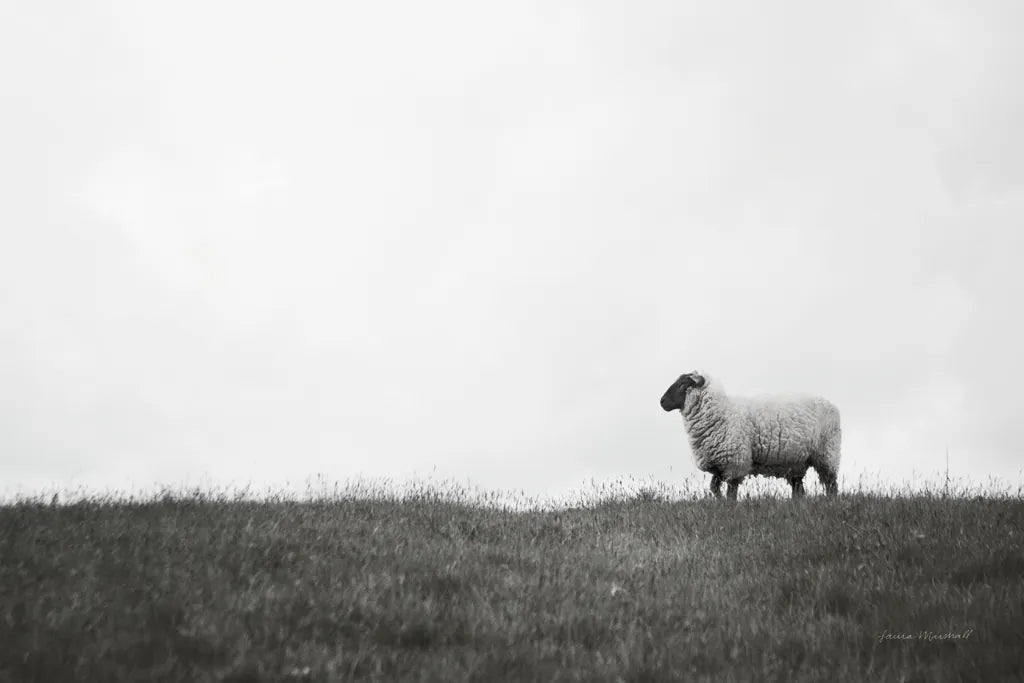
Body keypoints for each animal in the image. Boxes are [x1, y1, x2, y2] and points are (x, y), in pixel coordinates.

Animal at [660, 371, 841, 500]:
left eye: (683, 384)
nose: (661, 402)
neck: (722, 412)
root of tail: (832, 405)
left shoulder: (735, 462)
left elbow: (731, 493)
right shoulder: (719, 465)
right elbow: (714, 488)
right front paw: (719, 502)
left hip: (827, 454)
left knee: (831, 485)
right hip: (795, 463)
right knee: (799, 490)